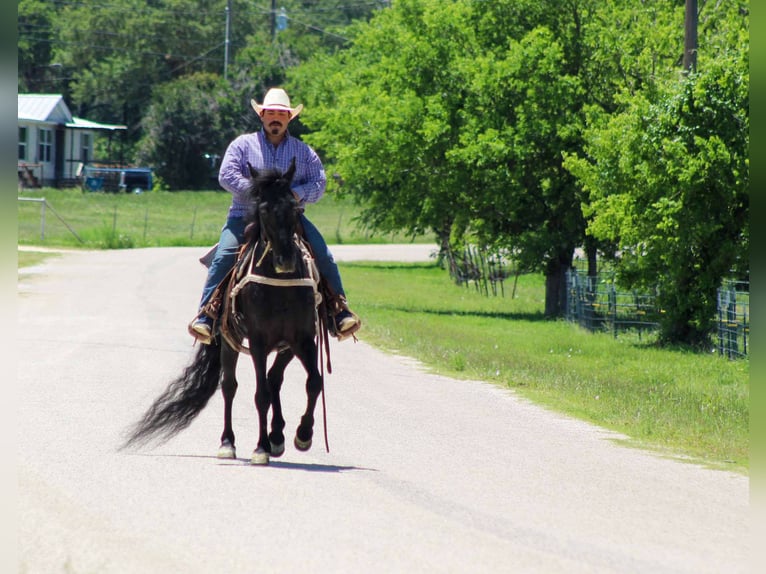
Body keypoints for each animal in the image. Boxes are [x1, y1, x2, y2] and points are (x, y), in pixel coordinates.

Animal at [122, 158, 326, 465]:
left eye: (296, 208)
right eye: (263, 210)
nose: (286, 260)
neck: (279, 285)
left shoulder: (303, 339)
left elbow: (314, 382)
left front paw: (303, 435)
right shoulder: (258, 342)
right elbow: (260, 395)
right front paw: (260, 448)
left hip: (285, 347)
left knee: (274, 379)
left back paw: (278, 436)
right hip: (230, 342)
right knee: (231, 386)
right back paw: (229, 442)